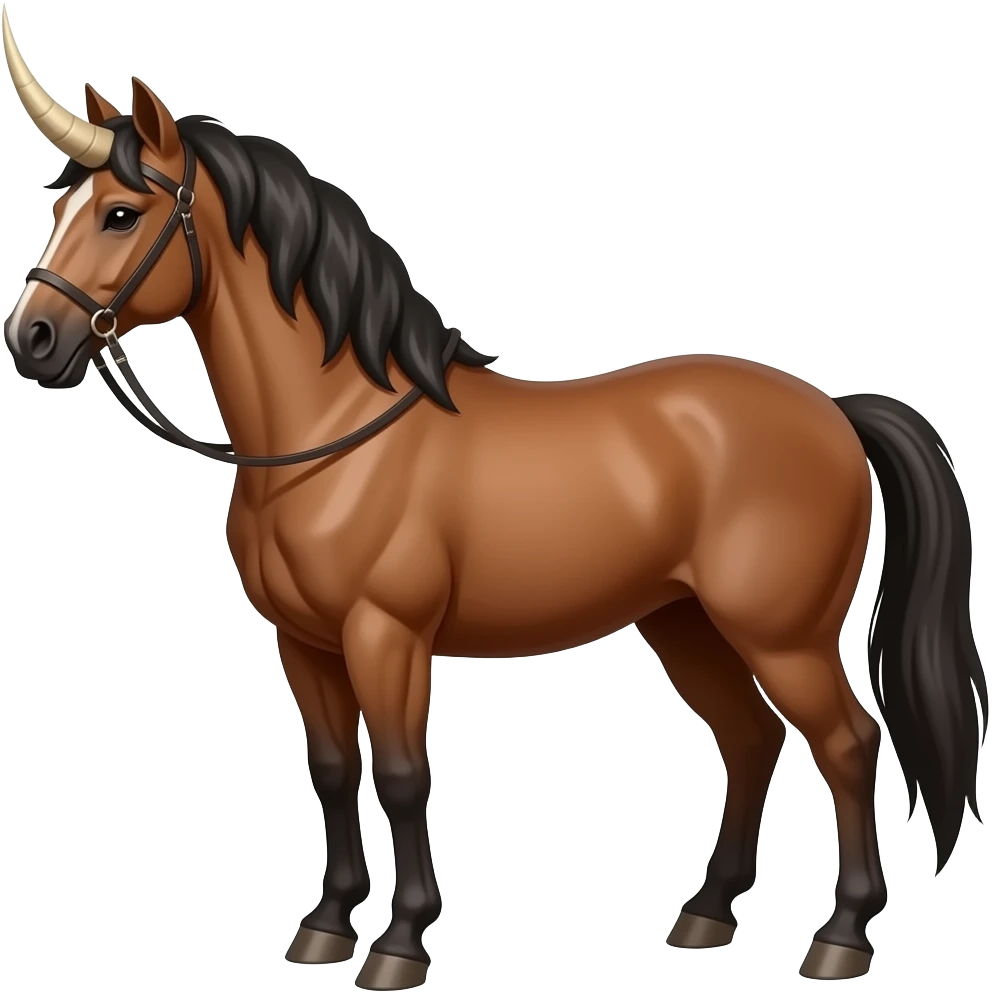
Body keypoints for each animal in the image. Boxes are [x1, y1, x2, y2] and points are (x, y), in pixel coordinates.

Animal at [2, 10, 986, 988]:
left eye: (122, 214)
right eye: (58, 210)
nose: (33, 339)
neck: (339, 432)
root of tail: (831, 410)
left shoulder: (385, 635)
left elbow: (403, 775)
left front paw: (400, 944)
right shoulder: (304, 643)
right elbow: (332, 770)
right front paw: (323, 927)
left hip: (782, 636)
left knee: (848, 743)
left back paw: (842, 936)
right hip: (686, 623)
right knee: (750, 740)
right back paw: (707, 914)